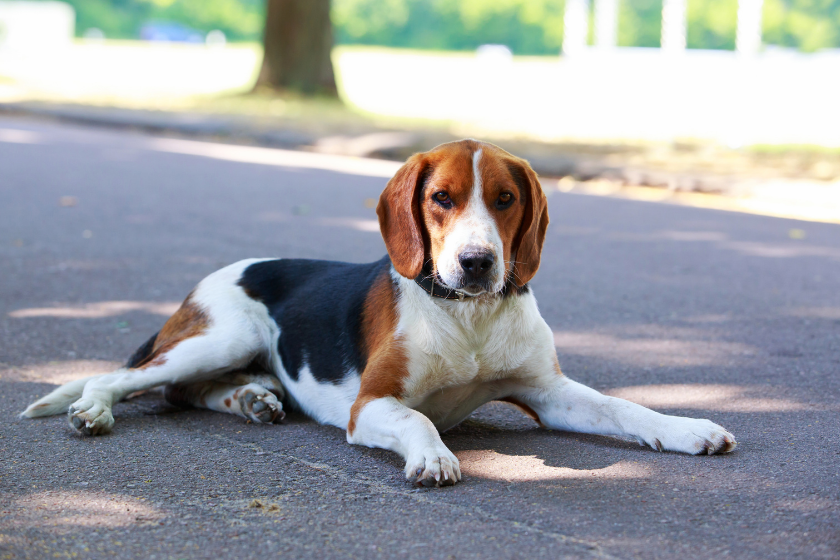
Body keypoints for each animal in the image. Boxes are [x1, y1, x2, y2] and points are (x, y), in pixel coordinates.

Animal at [23, 139, 736, 486]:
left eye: (505, 199)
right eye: (442, 197)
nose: (477, 263)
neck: (468, 319)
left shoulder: (549, 392)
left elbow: (625, 408)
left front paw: (686, 428)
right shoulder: (373, 404)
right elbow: (419, 421)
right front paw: (434, 457)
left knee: (187, 392)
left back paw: (252, 400)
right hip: (219, 336)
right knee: (129, 378)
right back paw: (93, 411)